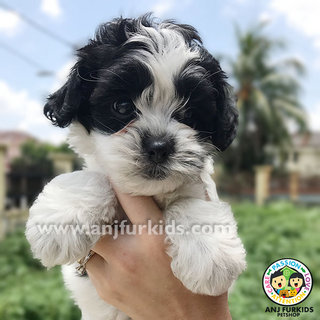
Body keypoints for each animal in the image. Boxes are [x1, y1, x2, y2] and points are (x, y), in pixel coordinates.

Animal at [26, 15, 246, 320]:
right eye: (121, 106)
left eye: (189, 115)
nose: (158, 146)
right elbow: (96, 176)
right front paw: (60, 222)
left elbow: (190, 201)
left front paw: (211, 256)